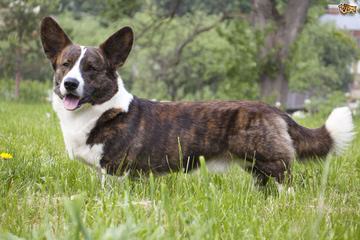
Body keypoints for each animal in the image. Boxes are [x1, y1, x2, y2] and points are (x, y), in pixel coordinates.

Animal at [39, 16, 354, 188]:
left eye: (92, 68)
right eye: (66, 65)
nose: (70, 84)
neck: (101, 111)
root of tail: (275, 109)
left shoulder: (116, 172)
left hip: (272, 164)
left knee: (286, 186)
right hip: (256, 168)